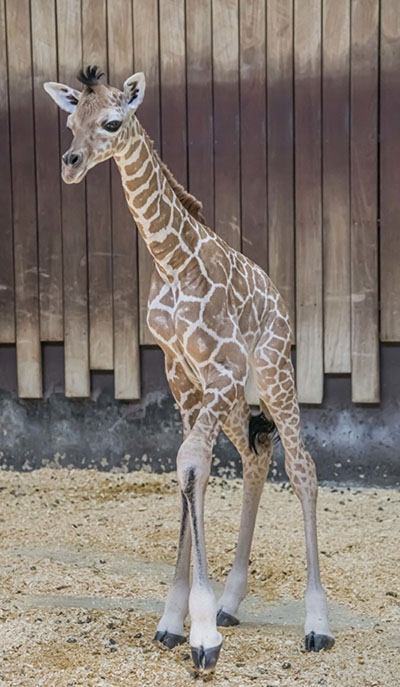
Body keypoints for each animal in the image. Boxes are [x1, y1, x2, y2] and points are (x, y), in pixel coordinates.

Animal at [44, 67, 334, 676]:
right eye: (70, 119)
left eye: (113, 122)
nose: (71, 164)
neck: (171, 261)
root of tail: (279, 301)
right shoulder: (183, 376)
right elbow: (187, 474)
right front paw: (179, 621)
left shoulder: (217, 371)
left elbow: (192, 464)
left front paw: (200, 634)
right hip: (235, 398)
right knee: (257, 457)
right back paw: (231, 601)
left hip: (274, 373)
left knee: (302, 468)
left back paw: (317, 625)